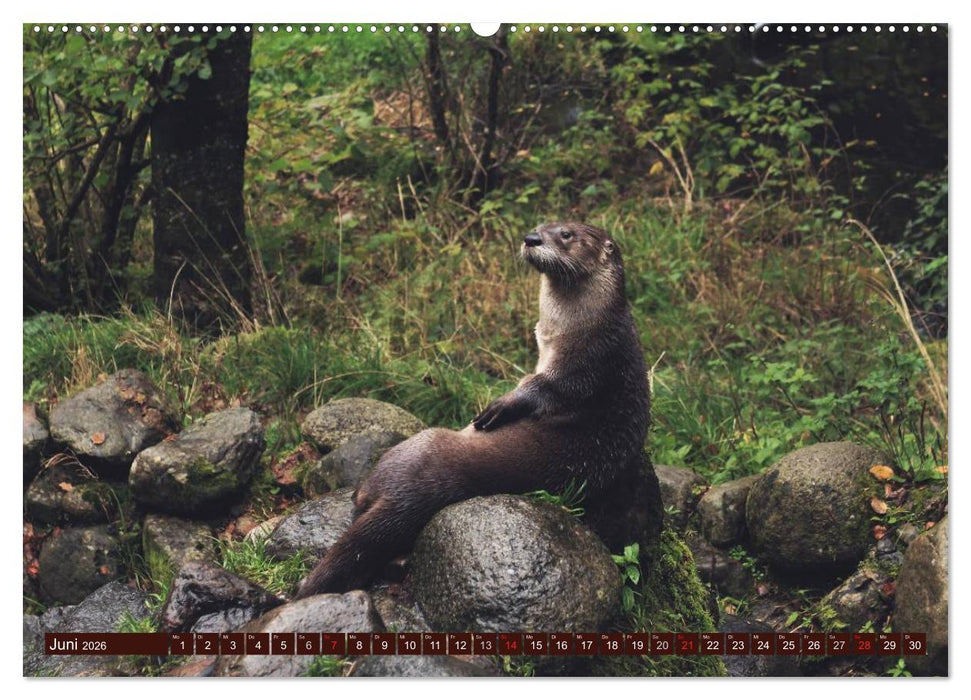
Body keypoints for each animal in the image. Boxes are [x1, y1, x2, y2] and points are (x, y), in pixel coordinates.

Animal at [295, 222, 650, 597]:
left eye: (566, 234)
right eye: (540, 226)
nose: (531, 239)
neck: (585, 325)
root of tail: (407, 498)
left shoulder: (588, 364)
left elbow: (545, 388)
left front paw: (499, 407)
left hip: (415, 447)